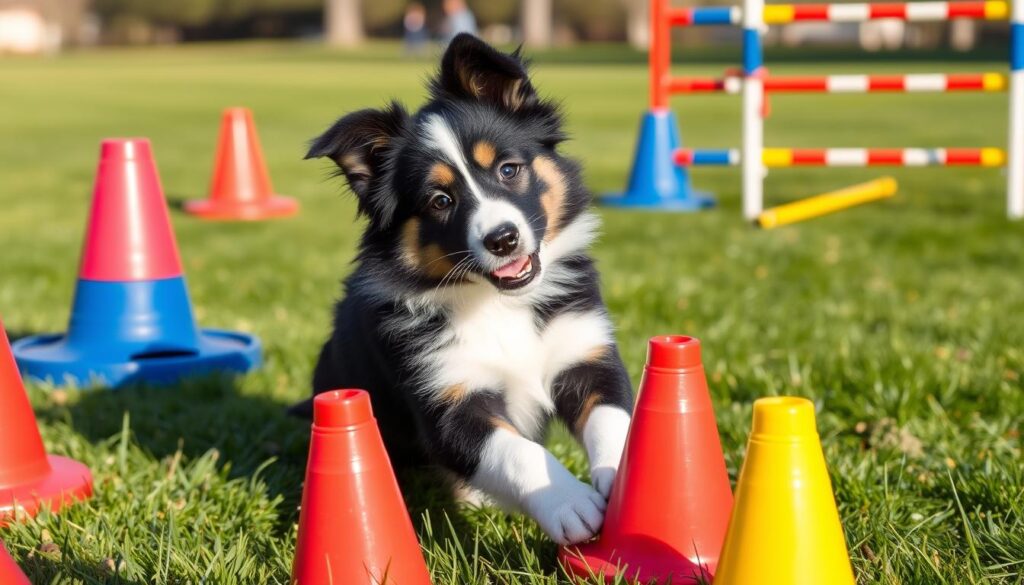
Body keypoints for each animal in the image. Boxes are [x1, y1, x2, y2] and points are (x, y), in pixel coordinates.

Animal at [290, 33, 630, 545]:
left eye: (509, 169)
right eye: (440, 200)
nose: (503, 239)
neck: (495, 302)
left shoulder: (585, 352)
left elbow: (615, 417)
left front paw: (628, 477)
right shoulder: (446, 400)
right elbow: (518, 453)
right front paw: (570, 504)